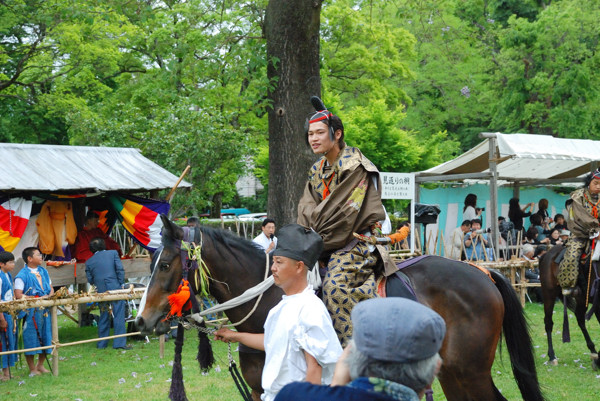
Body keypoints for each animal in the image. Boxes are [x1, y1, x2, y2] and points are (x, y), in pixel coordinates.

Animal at [136, 217, 544, 398]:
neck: (273, 300)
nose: (142, 320)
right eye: (152, 261)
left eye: (167, 264)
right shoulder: (258, 391)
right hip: (455, 374)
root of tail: (484, 272)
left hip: (470, 371)